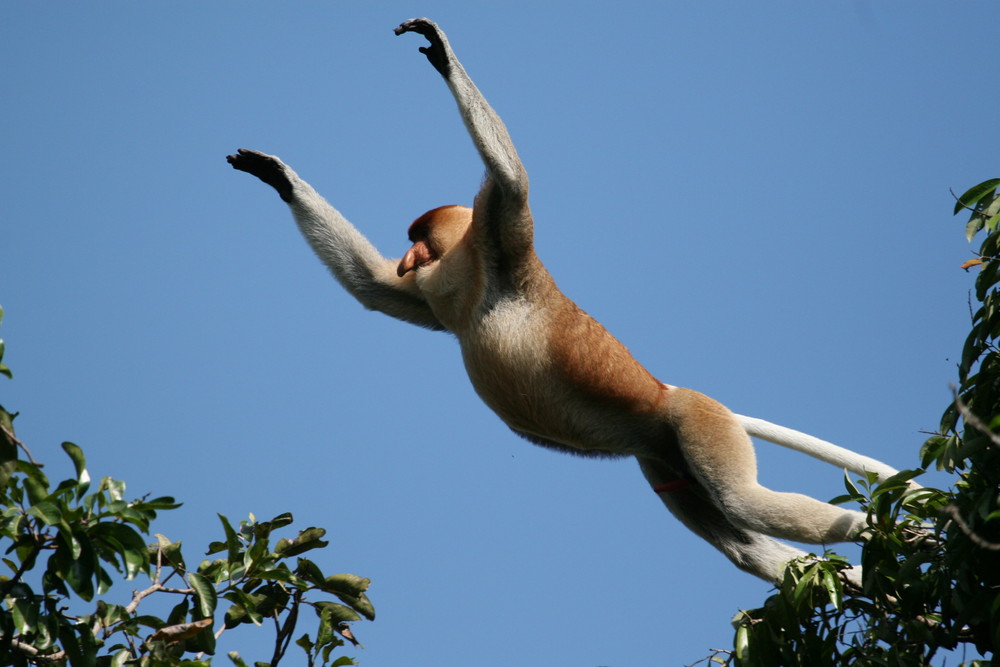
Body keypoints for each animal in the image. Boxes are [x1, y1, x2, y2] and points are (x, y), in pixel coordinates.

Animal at [229, 18, 908, 584]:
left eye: (420, 237)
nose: (408, 258)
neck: (466, 272)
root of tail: (665, 391)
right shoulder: (437, 293)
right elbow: (373, 290)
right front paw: (276, 175)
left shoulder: (501, 237)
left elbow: (511, 181)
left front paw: (439, 50)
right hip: (666, 461)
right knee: (741, 541)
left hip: (696, 421)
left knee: (746, 502)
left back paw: (896, 533)